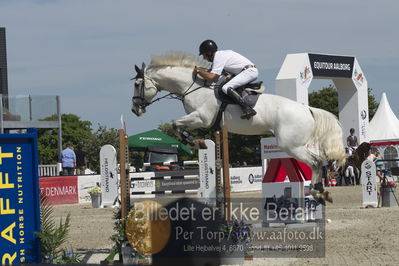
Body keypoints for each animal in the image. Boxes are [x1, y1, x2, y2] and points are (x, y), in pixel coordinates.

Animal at [131, 52, 346, 204]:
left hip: (291, 145)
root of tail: (307, 109)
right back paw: (321, 192)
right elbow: (178, 125)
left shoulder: (202, 118)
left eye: (138, 84)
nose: (135, 109)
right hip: (297, 145)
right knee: (319, 161)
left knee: (316, 162)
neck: (193, 87)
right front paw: (197, 142)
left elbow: (176, 124)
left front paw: (194, 141)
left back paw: (317, 192)